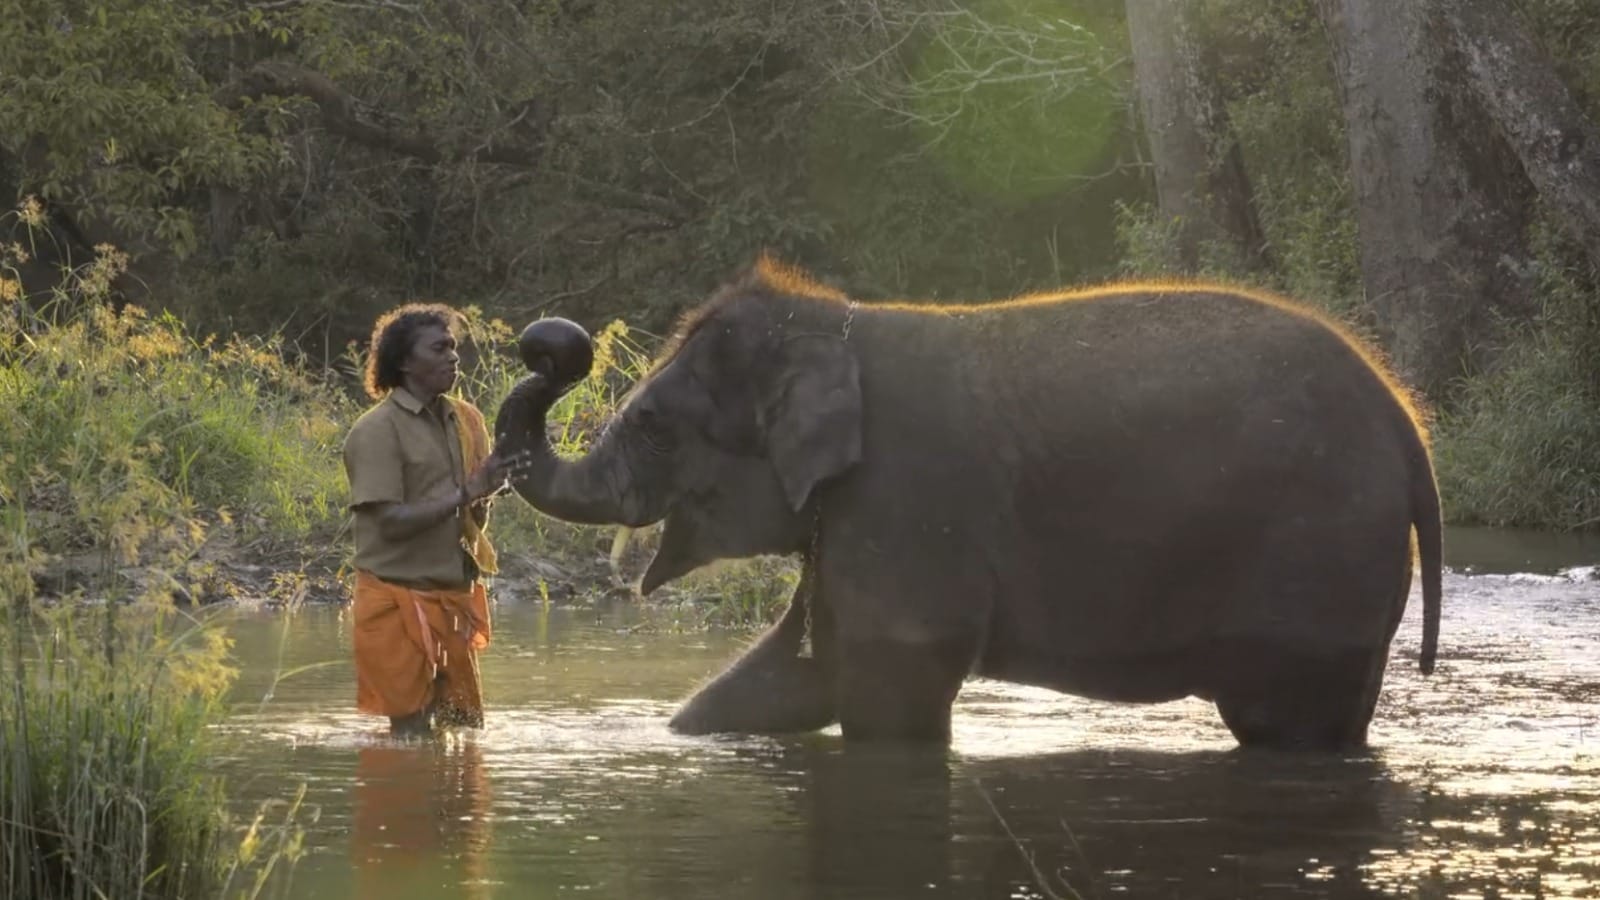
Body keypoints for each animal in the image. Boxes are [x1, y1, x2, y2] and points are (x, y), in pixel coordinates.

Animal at [493, 257, 1444, 749]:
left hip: (1320, 558)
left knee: (1289, 724)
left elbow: (891, 687)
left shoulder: (907, 500)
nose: (552, 343)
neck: (840, 327)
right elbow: (796, 672)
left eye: (654, 426)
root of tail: (1409, 428)